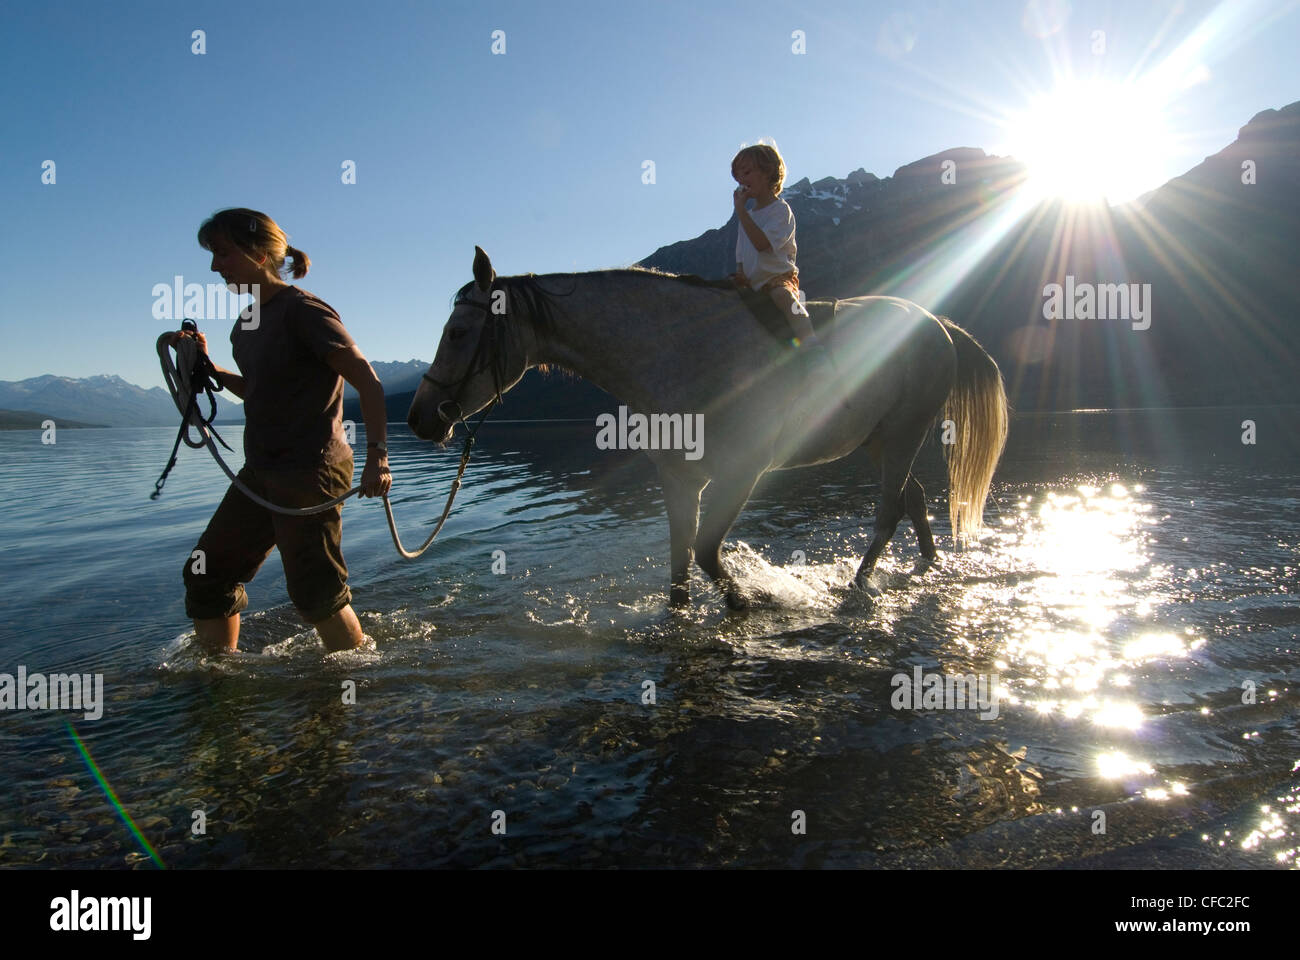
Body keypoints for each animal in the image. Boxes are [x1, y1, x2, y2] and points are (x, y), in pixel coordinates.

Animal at [405, 247, 1003, 606]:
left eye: (459, 332)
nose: (419, 417)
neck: (679, 352)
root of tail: (936, 323)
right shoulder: (679, 480)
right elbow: (679, 570)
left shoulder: (741, 474)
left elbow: (708, 553)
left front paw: (749, 604)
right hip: (880, 440)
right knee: (914, 499)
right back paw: (925, 564)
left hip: (904, 434)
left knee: (888, 511)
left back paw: (857, 586)